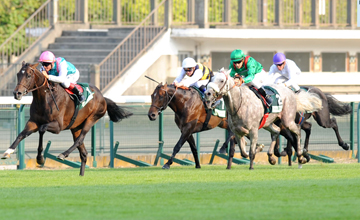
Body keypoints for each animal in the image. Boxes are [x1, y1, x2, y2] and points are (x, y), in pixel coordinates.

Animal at [0, 62, 133, 176]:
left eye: (28, 75)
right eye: (18, 74)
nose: (17, 93)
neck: (45, 98)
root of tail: (103, 97)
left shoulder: (58, 126)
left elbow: (42, 129)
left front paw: (40, 158)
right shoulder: (33, 122)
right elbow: (21, 134)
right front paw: (7, 152)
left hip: (92, 119)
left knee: (79, 139)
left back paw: (63, 154)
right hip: (75, 127)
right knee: (83, 153)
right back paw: (81, 175)